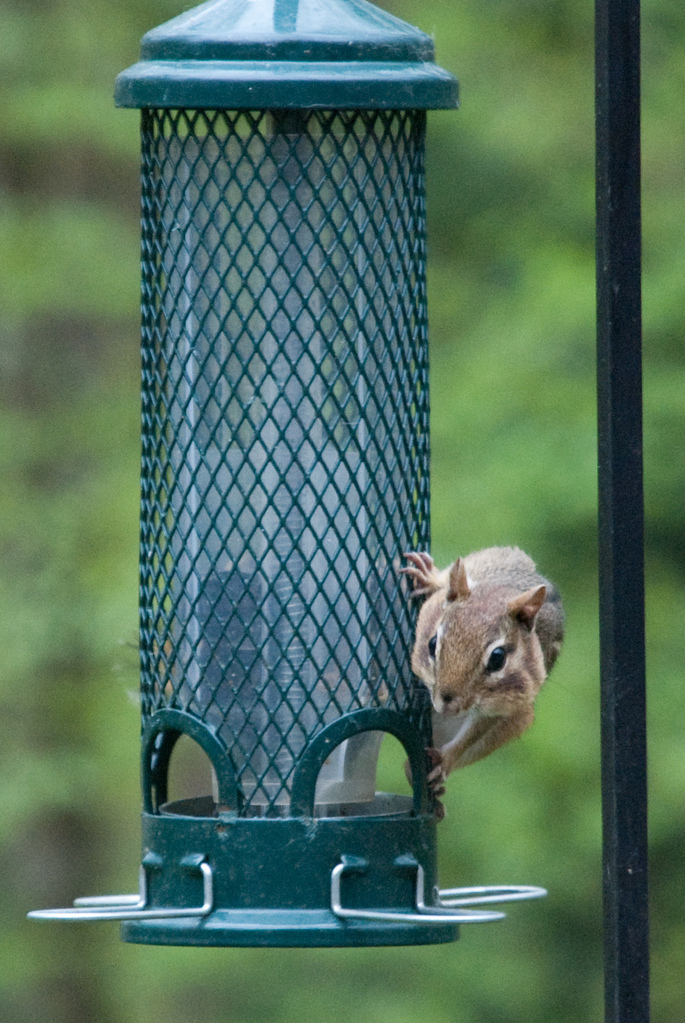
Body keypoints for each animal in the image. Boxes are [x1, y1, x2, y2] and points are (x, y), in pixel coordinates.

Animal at [401, 547, 564, 804]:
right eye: (432, 643)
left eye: (497, 658)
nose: (447, 704)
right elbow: (445, 584)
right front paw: (431, 577)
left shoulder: (502, 707)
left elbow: (474, 731)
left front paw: (445, 760)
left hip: (516, 722)